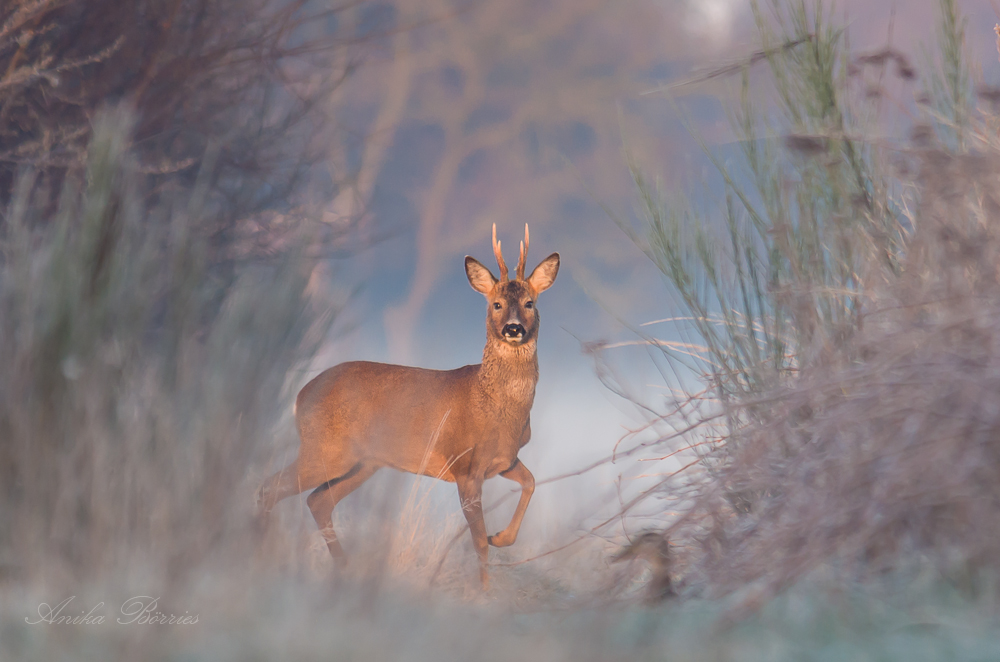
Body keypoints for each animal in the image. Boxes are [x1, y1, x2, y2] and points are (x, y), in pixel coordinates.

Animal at [254, 226, 560, 588]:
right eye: (496, 304)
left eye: (529, 302)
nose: (514, 328)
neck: (496, 407)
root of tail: (300, 395)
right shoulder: (464, 465)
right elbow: (477, 542)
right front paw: (483, 590)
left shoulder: (504, 460)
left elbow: (531, 482)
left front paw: (501, 537)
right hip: (324, 450)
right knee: (270, 487)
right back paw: (259, 555)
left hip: (364, 462)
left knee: (318, 500)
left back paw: (342, 567)